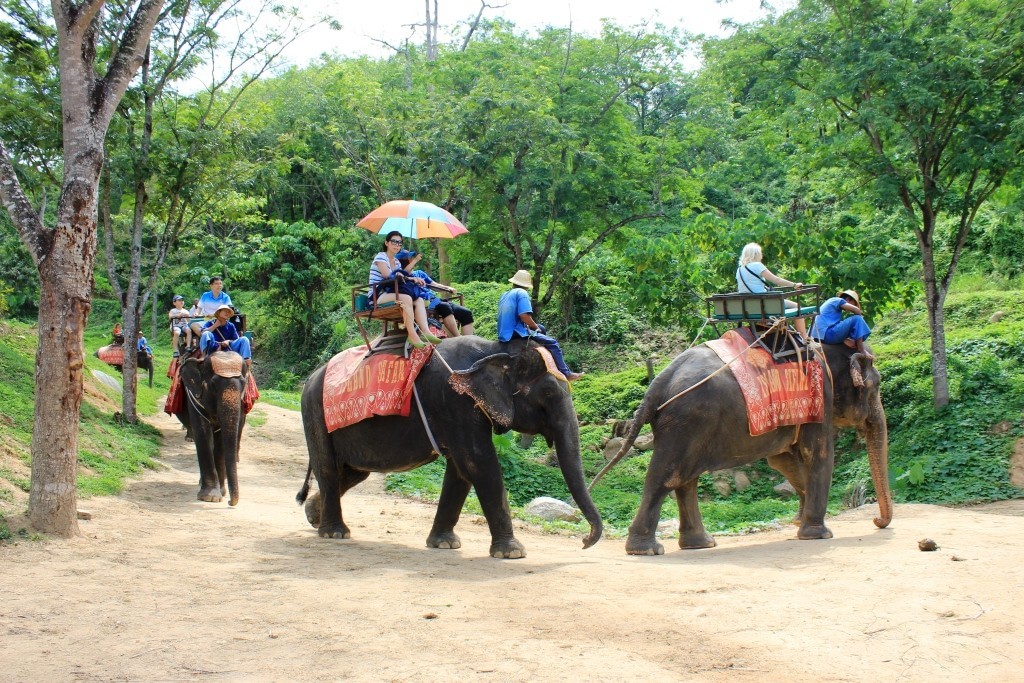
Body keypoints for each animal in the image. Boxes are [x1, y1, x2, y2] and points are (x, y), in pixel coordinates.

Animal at [174, 352, 249, 507]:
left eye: (244, 384)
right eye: (213, 384)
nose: (230, 502)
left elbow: (221, 441)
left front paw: (221, 492)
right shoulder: (194, 398)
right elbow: (203, 432)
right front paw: (210, 497)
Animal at [294, 335, 598, 561]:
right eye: (548, 394)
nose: (584, 541)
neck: (494, 349)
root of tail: (312, 376)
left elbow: (461, 471)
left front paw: (444, 544)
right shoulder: (454, 399)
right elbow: (478, 462)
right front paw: (513, 553)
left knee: (353, 472)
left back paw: (313, 517)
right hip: (314, 411)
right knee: (328, 468)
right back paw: (335, 533)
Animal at [593, 342, 888, 557]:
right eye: (876, 386)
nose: (876, 521)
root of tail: (658, 382)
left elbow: (782, 460)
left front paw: (798, 521)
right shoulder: (820, 397)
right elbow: (818, 454)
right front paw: (819, 534)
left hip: (686, 427)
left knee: (685, 479)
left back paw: (700, 544)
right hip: (687, 420)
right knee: (665, 477)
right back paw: (647, 550)